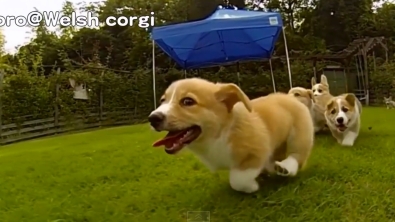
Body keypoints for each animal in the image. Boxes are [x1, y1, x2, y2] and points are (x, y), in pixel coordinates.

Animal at [149, 79, 316, 193]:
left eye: (188, 101)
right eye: (162, 100)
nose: (153, 118)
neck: (219, 133)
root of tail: (291, 97)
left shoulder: (256, 151)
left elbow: (237, 180)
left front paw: (252, 186)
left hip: (299, 136)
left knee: (296, 156)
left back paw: (285, 168)